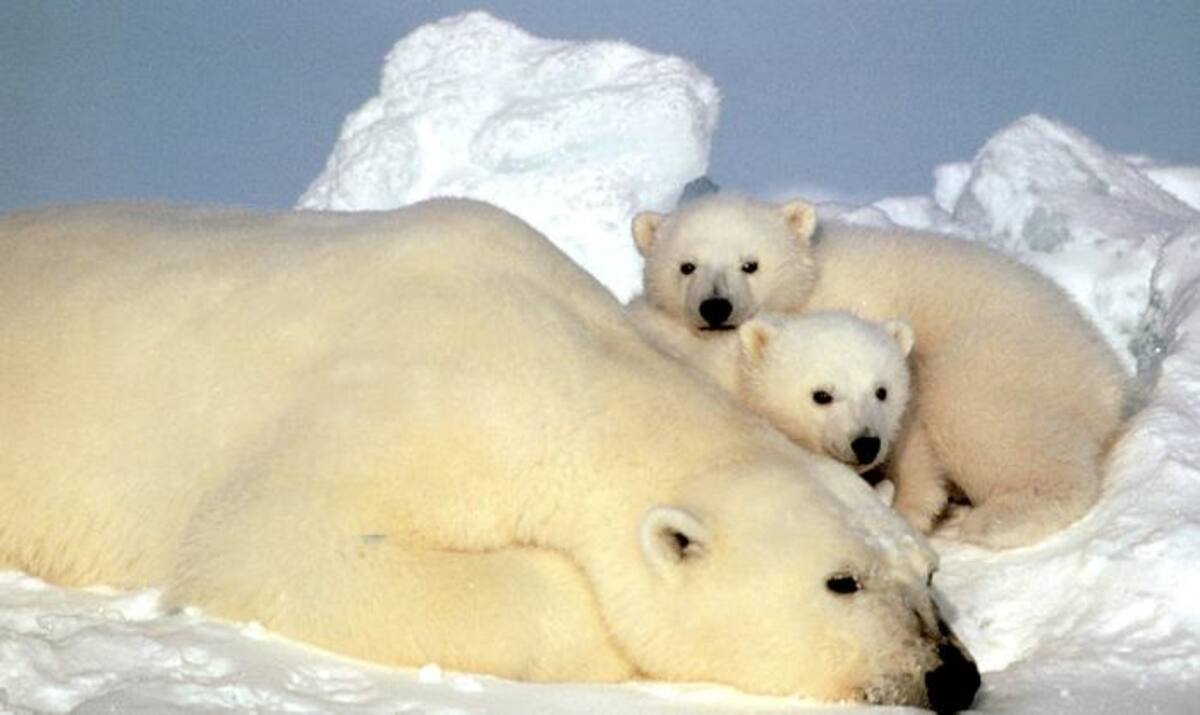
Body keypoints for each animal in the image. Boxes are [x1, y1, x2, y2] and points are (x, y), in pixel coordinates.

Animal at [630, 193, 1129, 549]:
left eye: (750, 264)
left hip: (1006, 354)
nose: (716, 307)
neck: (811, 287)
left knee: (981, 415)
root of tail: (1106, 375)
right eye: (686, 266)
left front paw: (906, 506)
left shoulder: (867, 310)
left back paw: (998, 519)